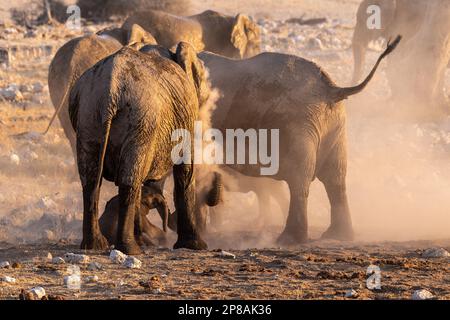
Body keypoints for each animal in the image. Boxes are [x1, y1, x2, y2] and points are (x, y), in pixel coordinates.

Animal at [67, 41, 212, 254]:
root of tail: (110, 88)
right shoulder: (186, 113)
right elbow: (185, 168)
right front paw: (195, 246)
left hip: (89, 115)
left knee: (92, 179)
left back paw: (95, 245)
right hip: (141, 119)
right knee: (130, 178)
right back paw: (131, 249)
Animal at [192, 35, 400, 245]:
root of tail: (332, 89)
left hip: (298, 124)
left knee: (300, 179)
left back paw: (289, 239)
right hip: (333, 125)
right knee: (335, 179)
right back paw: (337, 236)